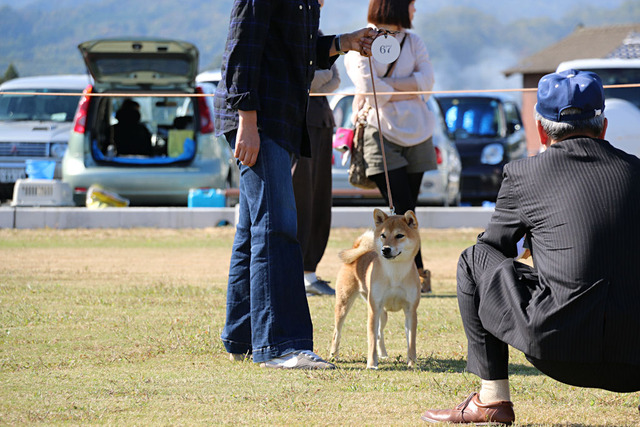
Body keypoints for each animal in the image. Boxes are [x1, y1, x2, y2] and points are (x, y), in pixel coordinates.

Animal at [332, 209, 422, 370]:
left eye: (399, 235)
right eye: (383, 235)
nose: (385, 249)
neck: (395, 273)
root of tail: (359, 251)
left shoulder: (410, 310)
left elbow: (411, 342)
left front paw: (412, 363)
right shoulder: (374, 309)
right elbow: (372, 339)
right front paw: (372, 364)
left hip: (383, 314)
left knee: (380, 333)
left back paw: (383, 354)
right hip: (344, 305)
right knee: (337, 332)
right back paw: (333, 355)